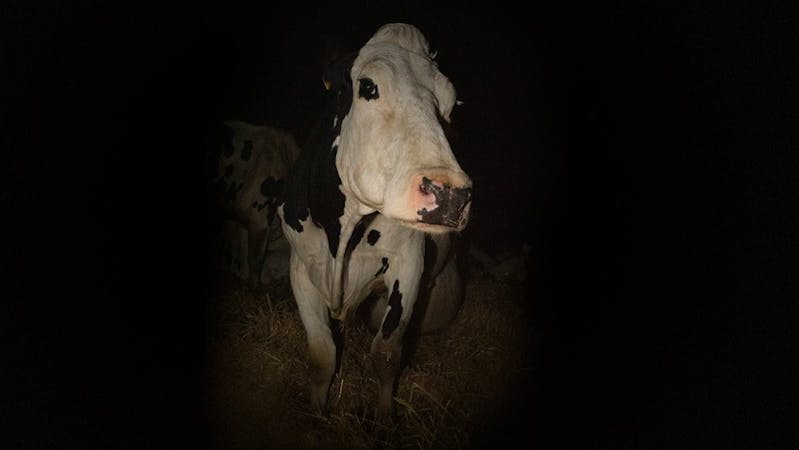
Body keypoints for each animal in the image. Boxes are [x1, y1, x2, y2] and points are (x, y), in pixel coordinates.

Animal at [278, 23, 472, 419]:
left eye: (449, 104)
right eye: (368, 86)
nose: (450, 195)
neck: (342, 235)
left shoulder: (408, 263)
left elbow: (385, 353)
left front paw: (384, 418)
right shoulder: (300, 266)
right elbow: (322, 353)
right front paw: (317, 413)